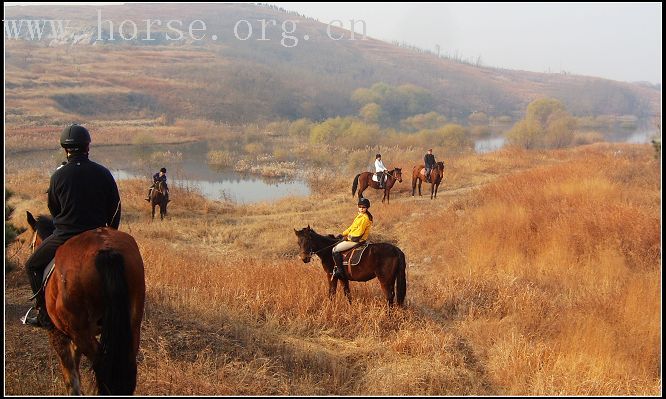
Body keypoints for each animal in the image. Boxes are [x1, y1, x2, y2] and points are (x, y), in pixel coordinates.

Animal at [25, 211, 144, 396]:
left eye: (31, 244)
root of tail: (106, 249)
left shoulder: (58, 334)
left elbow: (70, 376)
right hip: (131, 326)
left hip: (80, 331)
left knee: (102, 366)